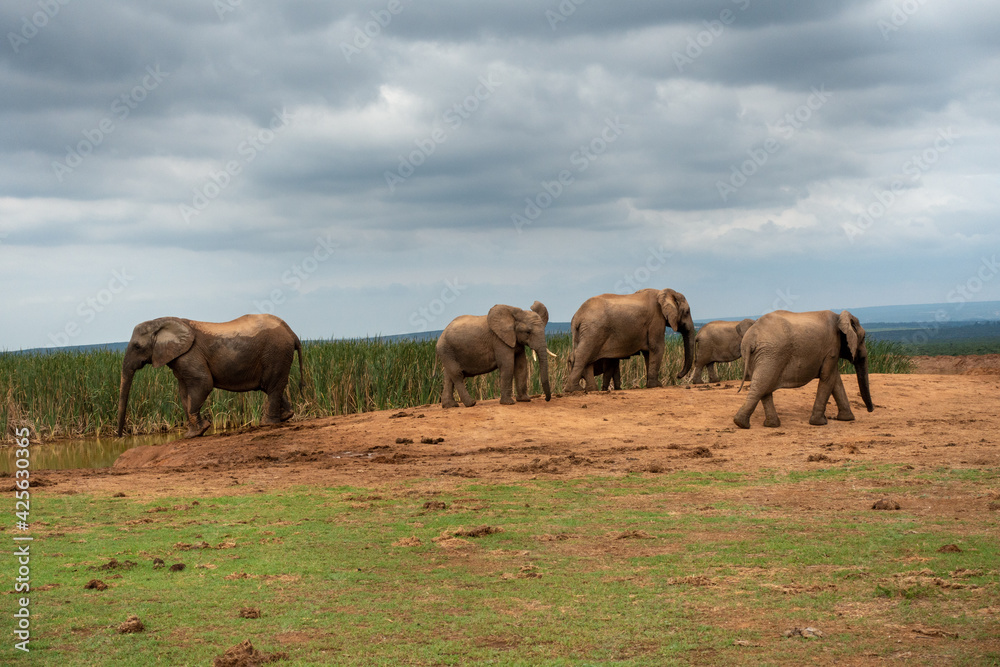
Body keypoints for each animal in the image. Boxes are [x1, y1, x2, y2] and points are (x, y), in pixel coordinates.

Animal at [117, 314, 304, 438]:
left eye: (137, 346)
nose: (120, 436)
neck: (161, 321)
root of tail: (292, 333)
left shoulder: (189, 354)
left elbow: (203, 383)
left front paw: (198, 431)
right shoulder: (180, 359)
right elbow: (183, 393)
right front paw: (194, 433)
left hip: (276, 352)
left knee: (271, 386)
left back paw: (267, 424)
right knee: (271, 386)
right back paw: (285, 416)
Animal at [564, 288, 696, 394]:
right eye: (687, 312)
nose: (678, 375)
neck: (663, 292)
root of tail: (577, 317)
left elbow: (648, 352)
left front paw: (651, 384)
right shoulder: (656, 319)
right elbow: (657, 347)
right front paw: (657, 385)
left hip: (583, 333)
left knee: (585, 357)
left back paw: (591, 390)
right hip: (593, 330)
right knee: (583, 355)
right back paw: (575, 390)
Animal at [732, 310, 872, 430]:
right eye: (864, 337)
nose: (870, 410)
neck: (839, 316)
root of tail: (751, 338)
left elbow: (835, 378)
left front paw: (847, 419)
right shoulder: (832, 347)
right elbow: (828, 377)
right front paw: (820, 423)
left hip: (761, 355)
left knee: (763, 384)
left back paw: (766, 424)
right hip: (772, 353)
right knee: (763, 384)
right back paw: (743, 424)